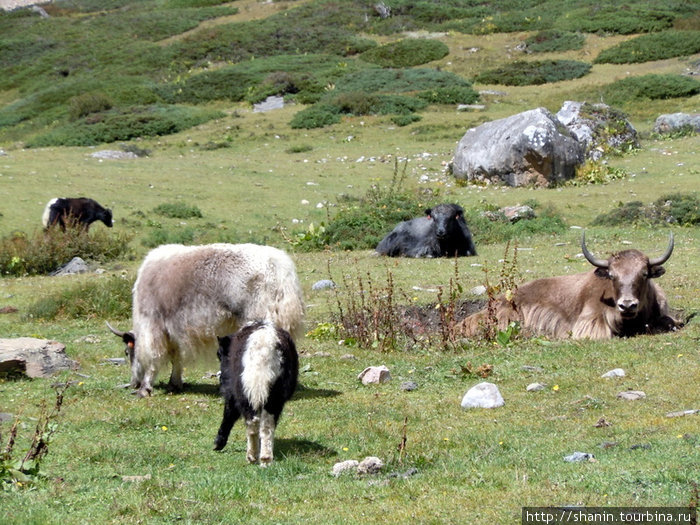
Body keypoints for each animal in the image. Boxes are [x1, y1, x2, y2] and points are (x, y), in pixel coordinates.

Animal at [215, 320, 300, 462]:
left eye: (220, 354)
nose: (221, 379)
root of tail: (263, 348)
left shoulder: (233, 394)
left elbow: (229, 413)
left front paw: (218, 443)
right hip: (274, 396)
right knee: (267, 424)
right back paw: (265, 457)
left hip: (244, 393)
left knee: (252, 422)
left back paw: (252, 456)